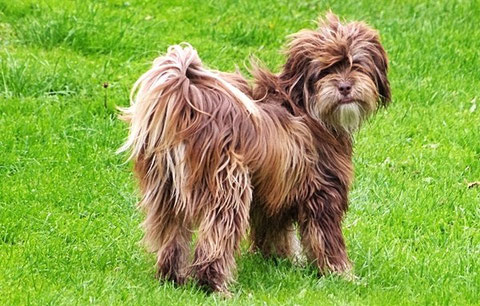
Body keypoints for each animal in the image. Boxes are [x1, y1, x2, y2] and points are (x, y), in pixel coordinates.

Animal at [119, 13, 390, 294]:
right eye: (327, 70)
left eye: (356, 65)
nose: (345, 87)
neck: (305, 106)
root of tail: (190, 109)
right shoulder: (322, 193)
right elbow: (327, 239)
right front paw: (342, 274)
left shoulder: (275, 194)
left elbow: (274, 231)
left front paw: (279, 261)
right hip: (227, 188)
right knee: (216, 239)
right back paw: (215, 285)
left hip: (166, 192)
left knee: (172, 237)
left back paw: (173, 279)